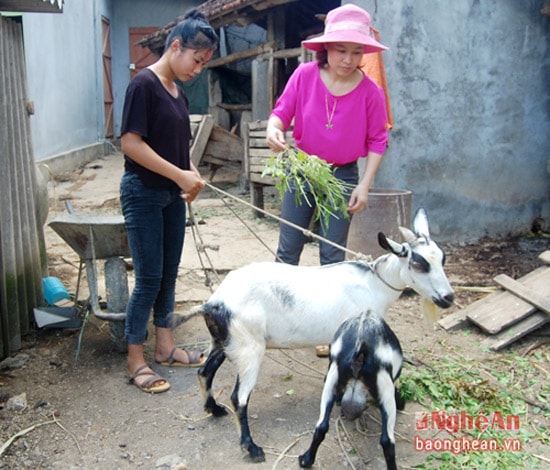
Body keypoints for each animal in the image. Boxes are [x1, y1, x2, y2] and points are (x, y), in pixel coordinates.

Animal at [175, 207, 454, 460]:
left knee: (204, 372)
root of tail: (214, 303)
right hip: (249, 349)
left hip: (223, 341)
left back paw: (214, 409)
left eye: (443, 259)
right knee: (239, 398)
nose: (448, 297)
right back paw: (251, 448)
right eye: (419, 263)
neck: (375, 283)